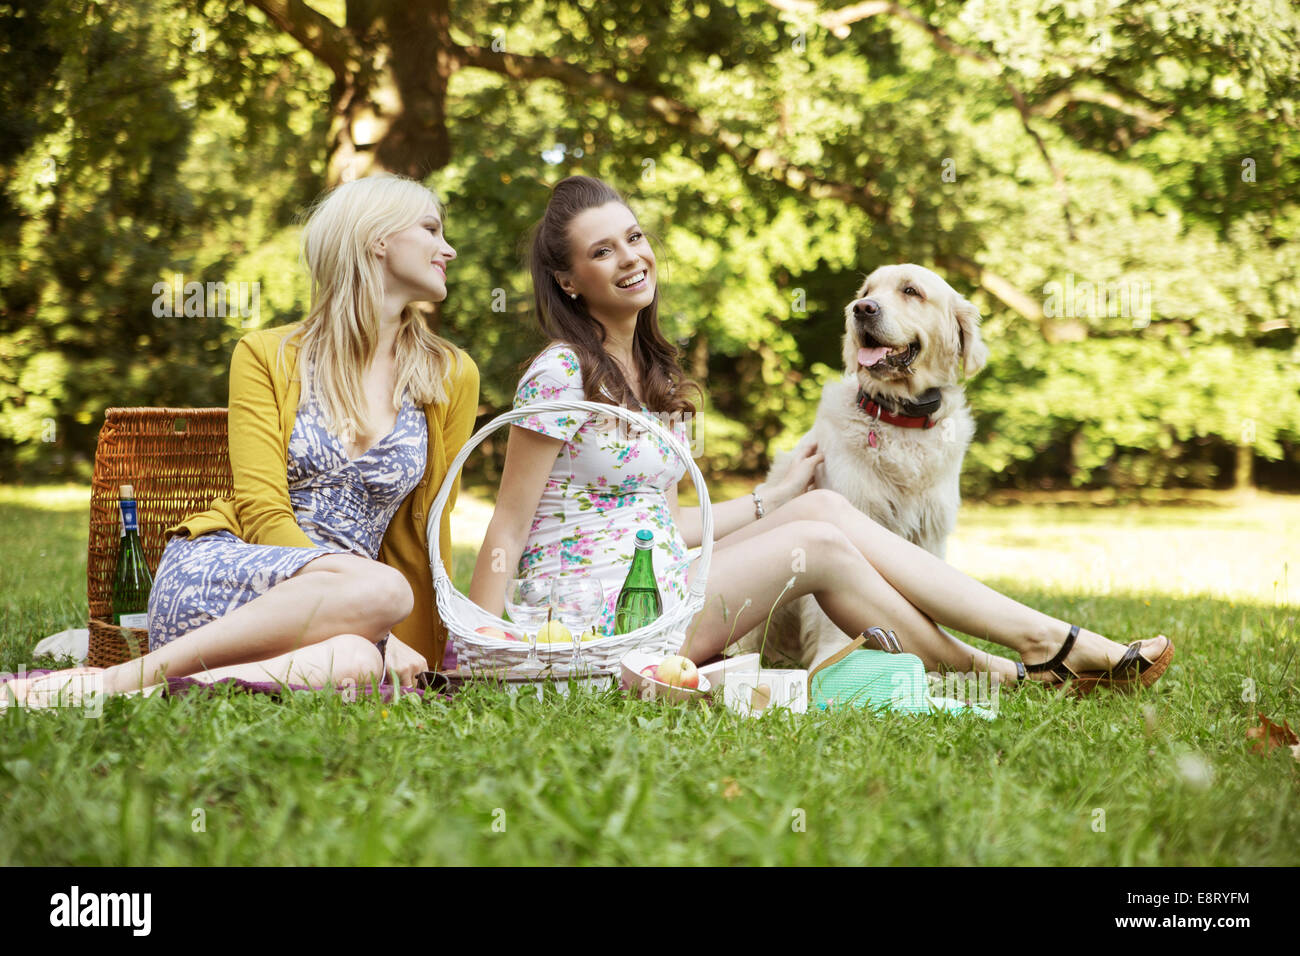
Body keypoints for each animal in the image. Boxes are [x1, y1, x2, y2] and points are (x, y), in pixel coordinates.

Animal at [738, 261, 987, 665]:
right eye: (867, 292)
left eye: (911, 291)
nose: (862, 309)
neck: (900, 419)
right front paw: (837, 654)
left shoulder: (929, 536)